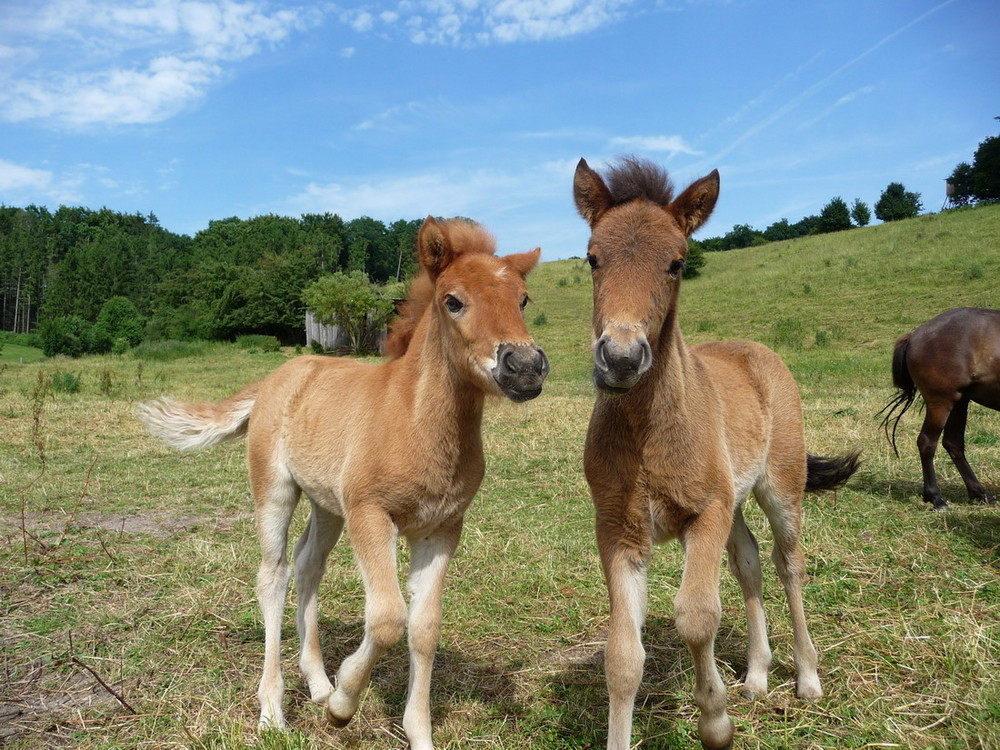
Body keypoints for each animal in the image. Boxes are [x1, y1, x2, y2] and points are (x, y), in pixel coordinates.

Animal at [137, 216, 548, 748]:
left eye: (523, 299)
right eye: (453, 301)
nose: (525, 368)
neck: (415, 421)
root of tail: (279, 375)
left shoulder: (441, 528)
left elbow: (424, 628)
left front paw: (416, 731)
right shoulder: (370, 513)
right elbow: (389, 618)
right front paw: (342, 706)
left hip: (328, 504)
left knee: (308, 564)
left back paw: (316, 680)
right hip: (277, 491)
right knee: (272, 575)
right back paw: (274, 709)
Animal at [576, 159, 864, 750]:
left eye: (677, 263)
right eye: (592, 257)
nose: (621, 359)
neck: (646, 433)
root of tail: (756, 350)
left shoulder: (704, 514)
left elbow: (696, 616)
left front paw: (716, 721)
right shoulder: (619, 531)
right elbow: (622, 656)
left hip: (779, 489)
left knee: (788, 564)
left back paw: (807, 678)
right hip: (733, 501)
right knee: (749, 562)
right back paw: (755, 676)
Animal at [880, 306, 996, 512]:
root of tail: (915, 335)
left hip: (960, 401)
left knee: (953, 443)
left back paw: (979, 493)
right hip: (942, 402)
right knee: (927, 442)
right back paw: (935, 497)